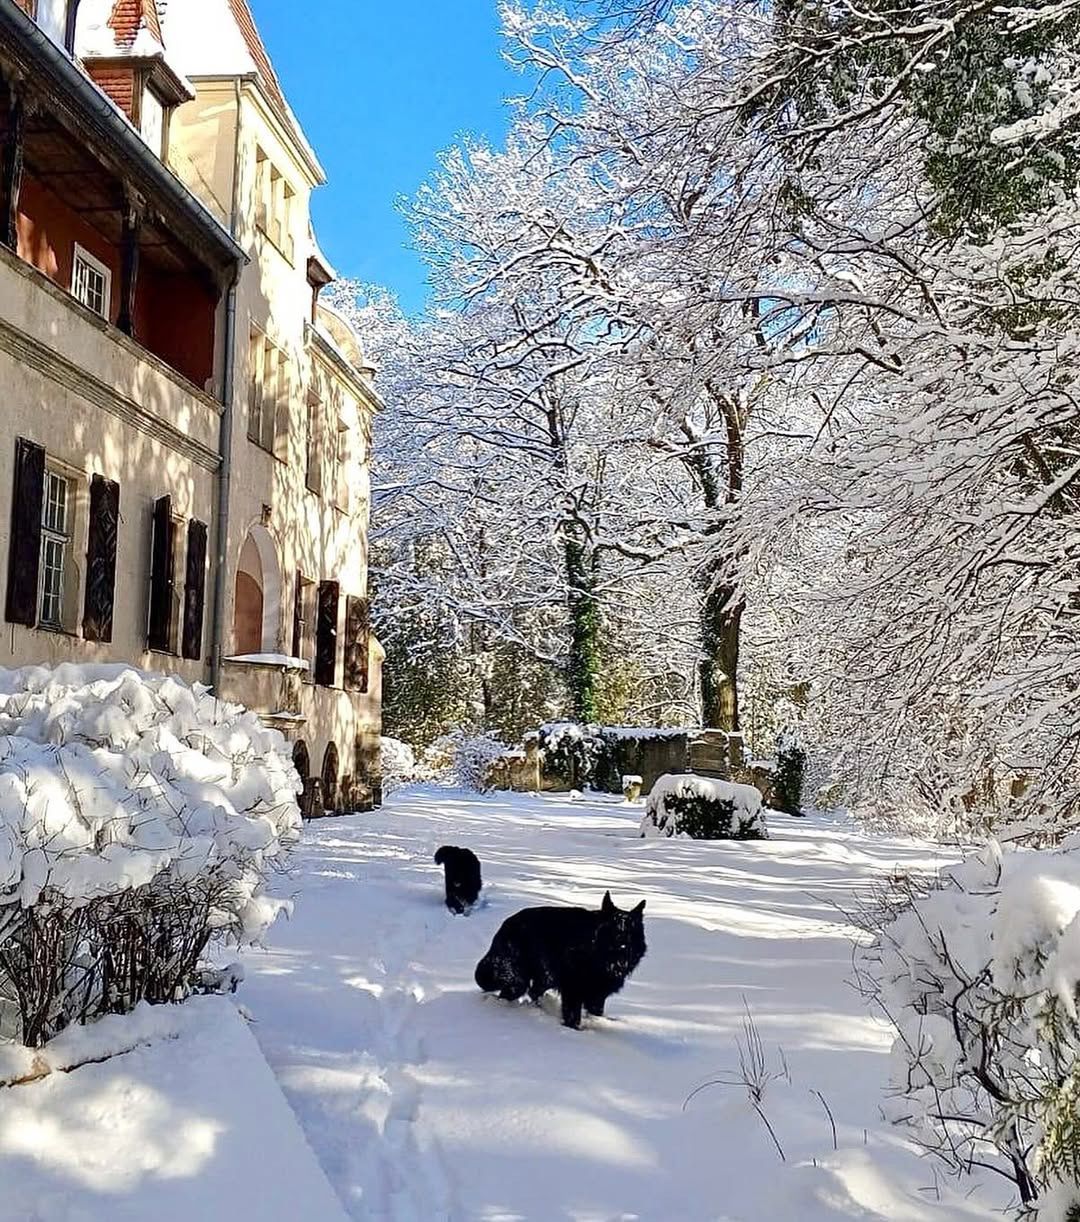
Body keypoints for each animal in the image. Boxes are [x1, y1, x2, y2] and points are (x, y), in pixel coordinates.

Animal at [476, 894, 645, 1026]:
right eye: (613, 929)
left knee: (533, 992)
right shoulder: (573, 990)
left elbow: (596, 1012)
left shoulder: (597, 994)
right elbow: (573, 1018)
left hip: (545, 977)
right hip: (521, 980)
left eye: (631, 931)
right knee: (511, 993)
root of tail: (506, 925)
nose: (623, 947)